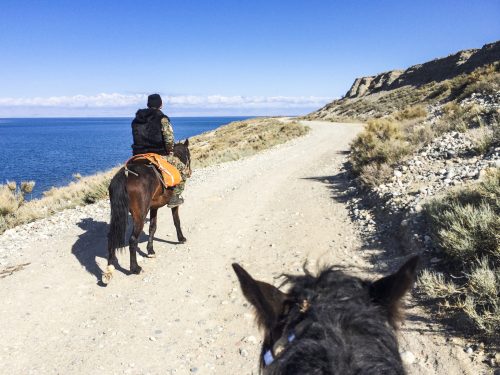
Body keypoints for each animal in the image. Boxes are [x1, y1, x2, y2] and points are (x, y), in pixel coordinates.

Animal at [102, 140, 191, 284]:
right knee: (133, 240)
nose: (189, 172)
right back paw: (135, 268)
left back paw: (109, 268)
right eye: (189, 154)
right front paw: (181, 238)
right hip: (140, 215)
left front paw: (150, 250)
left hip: (117, 214)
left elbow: (152, 227)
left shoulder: (154, 208)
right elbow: (176, 221)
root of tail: (125, 174)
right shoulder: (174, 205)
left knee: (111, 237)